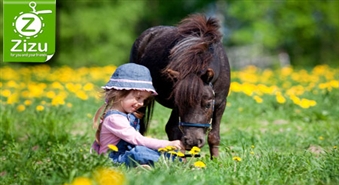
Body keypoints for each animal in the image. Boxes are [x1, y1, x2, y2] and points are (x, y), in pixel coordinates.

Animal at [130, 13, 231, 158]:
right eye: (181, 103)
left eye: (207, 105)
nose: (193, 141)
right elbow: (174, 132)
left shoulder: (220, 103)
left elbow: (214, 136)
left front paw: (216, 160)